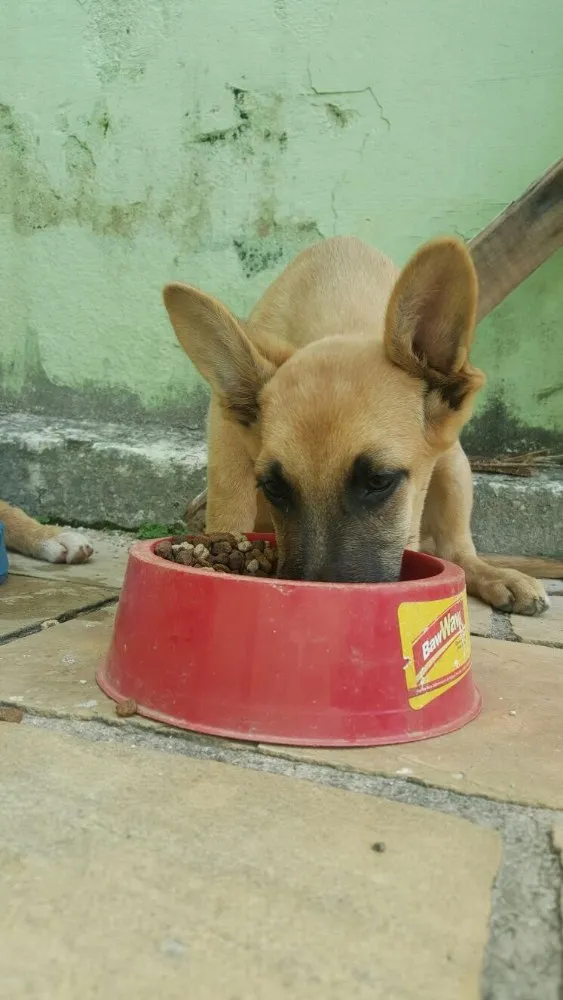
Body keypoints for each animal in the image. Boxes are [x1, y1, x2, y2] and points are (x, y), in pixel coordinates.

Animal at [164, 235, 552, 612]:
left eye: (379, 481)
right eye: (273, 487)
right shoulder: (225, 432)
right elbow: (230, 512)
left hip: (455, 464)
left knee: (457, 551)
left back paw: (494, 574)